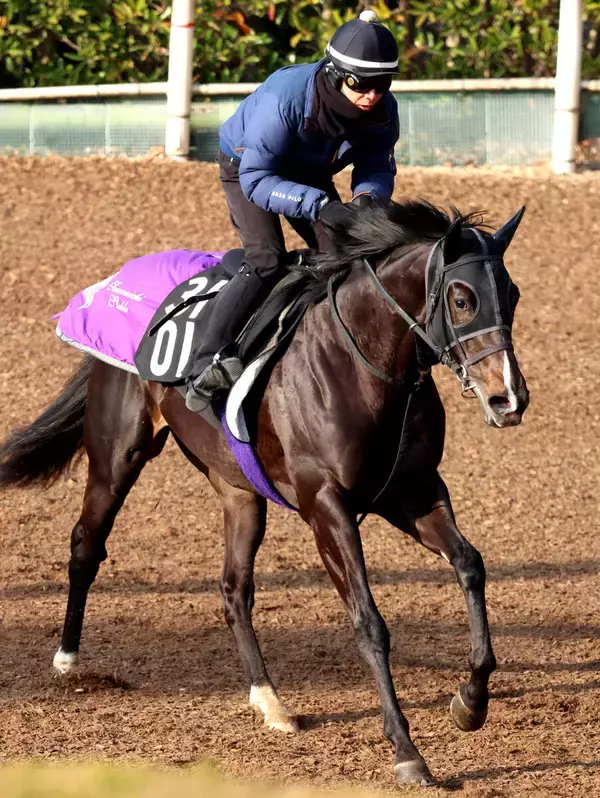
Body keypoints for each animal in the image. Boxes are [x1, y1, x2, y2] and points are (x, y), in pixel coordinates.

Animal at [0, 200, 529, 787]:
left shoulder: (412, 491)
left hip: (239, 490)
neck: (365, 365)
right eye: (461, 298)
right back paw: (67, 660)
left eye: (512, 295)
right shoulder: (326, 507)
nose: (509, 398)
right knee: (86, 546)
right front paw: (406, 750)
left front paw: (470, 701)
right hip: (119, 456)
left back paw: (270, 700)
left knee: (235, 587)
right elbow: (368, 621)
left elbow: (471, 564)